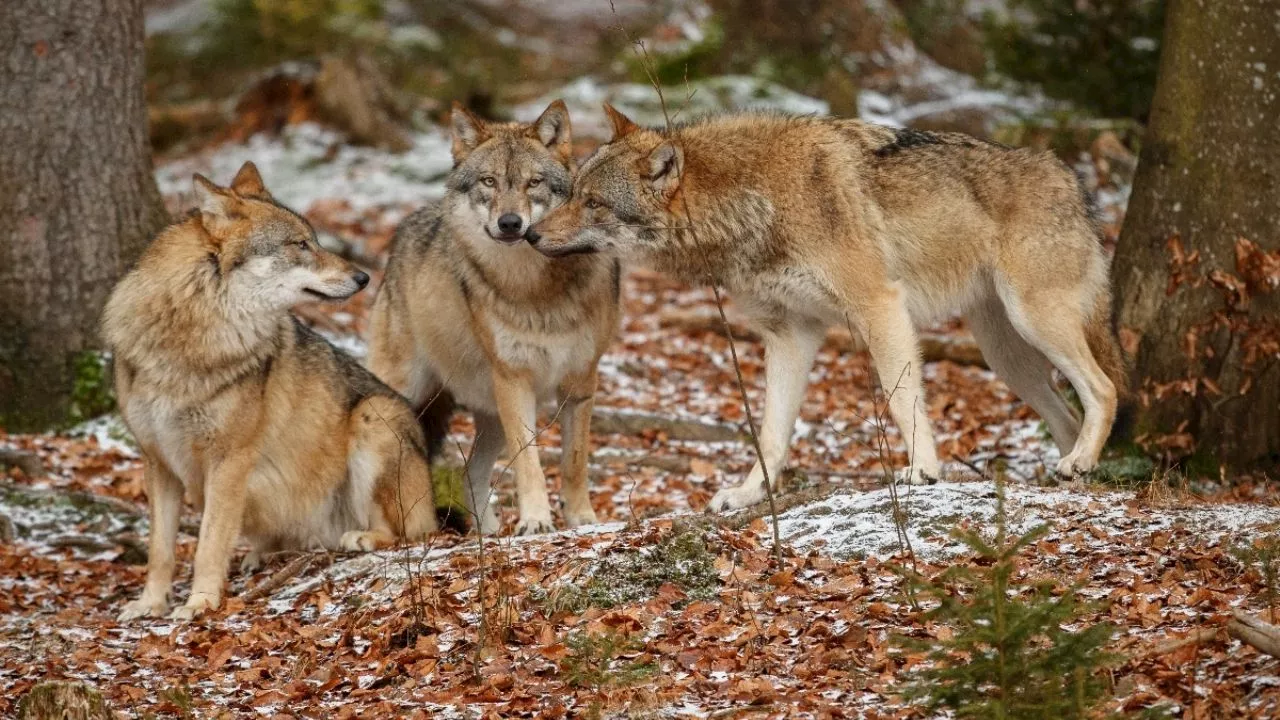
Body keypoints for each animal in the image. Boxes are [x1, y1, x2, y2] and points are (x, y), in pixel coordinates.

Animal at [104, 161, 435, 617]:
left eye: (314, 240)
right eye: (301, 244)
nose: (364, 277)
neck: (192, 337)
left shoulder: (229, 460)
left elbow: (208, 545)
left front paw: (200, 603)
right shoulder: (158, 462)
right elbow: (161, 550)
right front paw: (150, 603)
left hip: (374, 416)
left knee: (407, 533)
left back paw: (361, 537)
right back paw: (261, 555)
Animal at [366, 103, 619, 535]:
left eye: (534, 182)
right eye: (489, 181)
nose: (510, 223)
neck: (534, 289)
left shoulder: (581, 381)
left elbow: (575, 463)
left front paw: (582, 518)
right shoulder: (514, 380)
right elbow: (529, 462)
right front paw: (535, 520)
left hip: (490, 414)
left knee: (470, 474)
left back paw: (486, 533)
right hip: (402, 397)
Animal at [524, 106, 1126, 509]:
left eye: (593, 203)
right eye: (570, 192)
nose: (528, 234)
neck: (754, 202)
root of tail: (1073, 181)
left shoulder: (880, 307)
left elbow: (902, 400)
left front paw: (922, 470)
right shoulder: (790, 335)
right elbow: (771, 434)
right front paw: (748, 495)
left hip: (1034, 323)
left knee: (1105, 389)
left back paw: (1080, 461)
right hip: (1006, 356)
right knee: (1069, 414)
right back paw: (1071, 474)